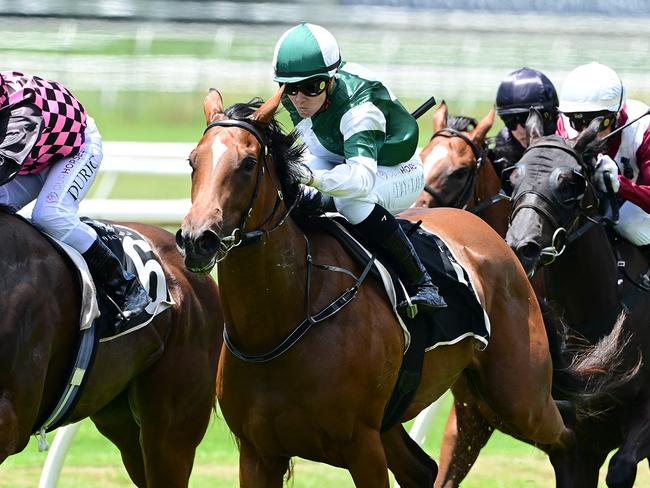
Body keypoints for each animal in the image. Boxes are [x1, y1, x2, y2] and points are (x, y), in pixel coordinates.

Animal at [173, 88, 612, 488]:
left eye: (248, 163)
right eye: (193, 161)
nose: (197, 239)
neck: (279, 324)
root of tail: (502, 245)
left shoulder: (361, 446)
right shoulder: (258, 453)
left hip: (519, 396)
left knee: (568, 439)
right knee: (425, 470)